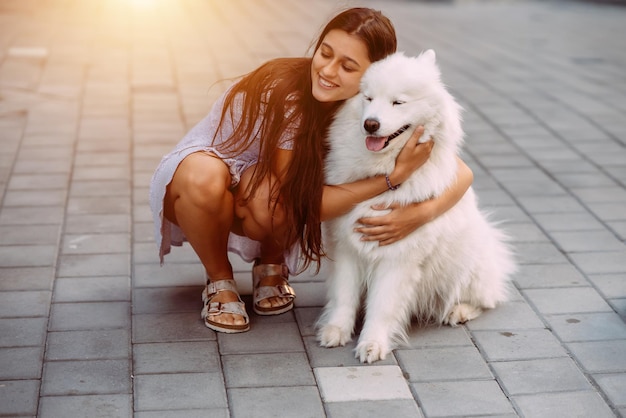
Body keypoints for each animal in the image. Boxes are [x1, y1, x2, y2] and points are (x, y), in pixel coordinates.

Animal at [314, 49, 516, 362]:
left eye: (398, 102)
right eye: (368, 98)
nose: (370, 124)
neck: (379, 172)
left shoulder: (398, 257)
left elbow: (382, 306)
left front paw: (372, 343)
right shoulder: (346, 245)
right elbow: (343, 295)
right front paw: (336, 330)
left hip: (465, 264)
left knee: (486, 299)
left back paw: (458, 311)